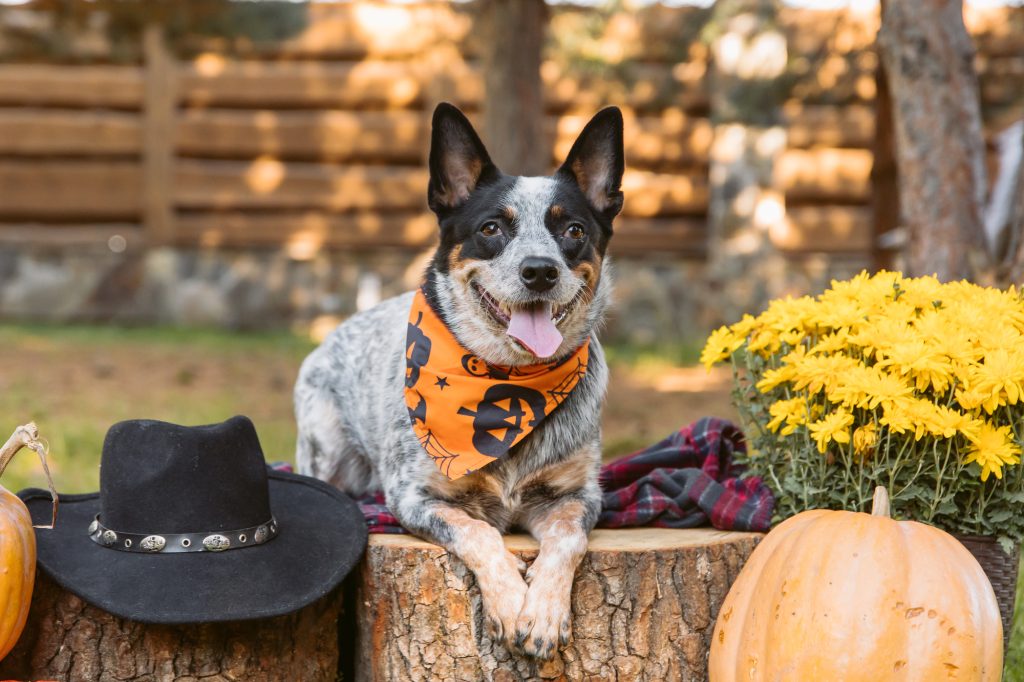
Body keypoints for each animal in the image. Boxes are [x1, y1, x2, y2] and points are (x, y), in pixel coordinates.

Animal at [292, 102, 618, 659]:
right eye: (491, 228)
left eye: (574, 230)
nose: (540, 270)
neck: (508, 383)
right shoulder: (415, 497)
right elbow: (478, 532)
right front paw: (509, 601)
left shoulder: (576, 495)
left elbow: (567, 541)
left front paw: (543, 611)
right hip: (326, 450)